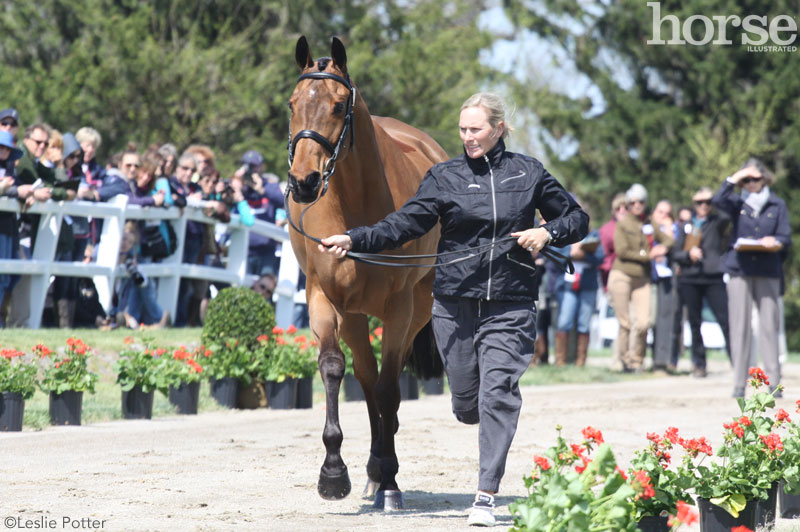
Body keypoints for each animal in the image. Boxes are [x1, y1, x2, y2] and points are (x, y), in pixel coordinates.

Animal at [286, 35, 450, 510]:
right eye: (292, 104)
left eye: (339, 105)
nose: (303, 182)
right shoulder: (323, 298)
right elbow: (333, 369)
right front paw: (333, 473)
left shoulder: (399, 307)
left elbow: (390, 390)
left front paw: (389, 478)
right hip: (356, 315)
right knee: (365, 376)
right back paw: (372, 476)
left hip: (417, 309)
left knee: (383, 385)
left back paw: (384, 476)